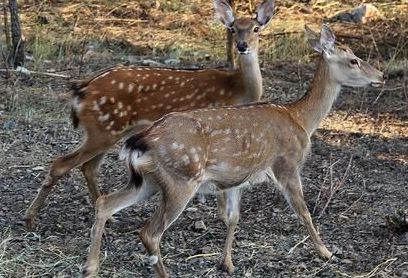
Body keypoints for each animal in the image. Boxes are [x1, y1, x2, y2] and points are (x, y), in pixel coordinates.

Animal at [23, 0, 278, 228]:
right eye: (233, 29)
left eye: (256, 28)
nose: (242, 46)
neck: (239, 89)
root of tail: (81, 90)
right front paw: (223, 216)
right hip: (102, 130)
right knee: (62, 163)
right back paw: (30, 219)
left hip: (106, 130)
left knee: (88, 167)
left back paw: (108, 216)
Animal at [83, 25, 386, 276]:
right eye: (354, 60)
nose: (381, 75)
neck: (299, 119)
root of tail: (139, 142)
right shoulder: (286, 164)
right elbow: (303, 211)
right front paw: (326, 252)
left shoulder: (238, 176)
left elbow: (233, 217)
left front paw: (226, 263)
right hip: (181, 179)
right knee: (149, 232)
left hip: (146, 181)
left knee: (106, 203)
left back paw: (90, 267)